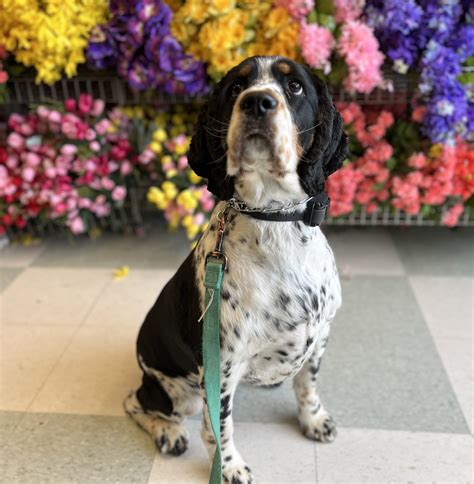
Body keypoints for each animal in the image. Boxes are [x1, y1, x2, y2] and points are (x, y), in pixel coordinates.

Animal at [124, 55, 348, 483]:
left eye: (294, 86)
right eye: (235, 88)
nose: (258, 102)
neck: (275, 219)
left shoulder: (321, 336)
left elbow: (307, 385)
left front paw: (313, 420)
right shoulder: (222, 367)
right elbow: (219, 426)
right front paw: (228, 466)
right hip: (176, 392)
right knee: (136, 402)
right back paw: (168, 432)